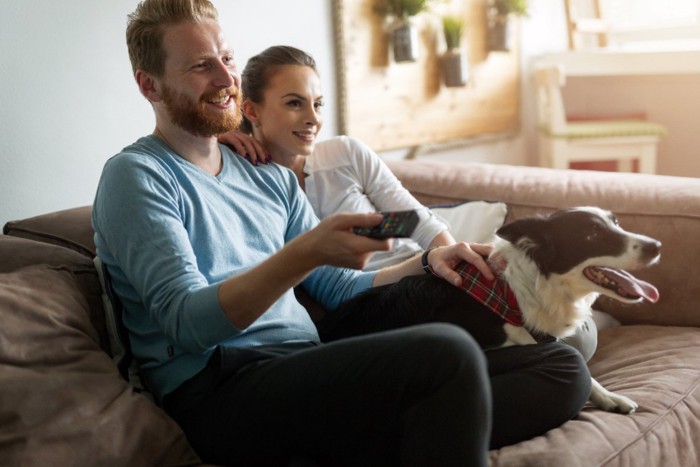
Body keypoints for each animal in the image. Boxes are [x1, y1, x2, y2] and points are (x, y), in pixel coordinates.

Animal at [330, 207, 660, 414]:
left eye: (616, 223)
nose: (656, 246)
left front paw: (610, 398)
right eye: (591, 235)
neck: (509, 295)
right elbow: (576, 362)